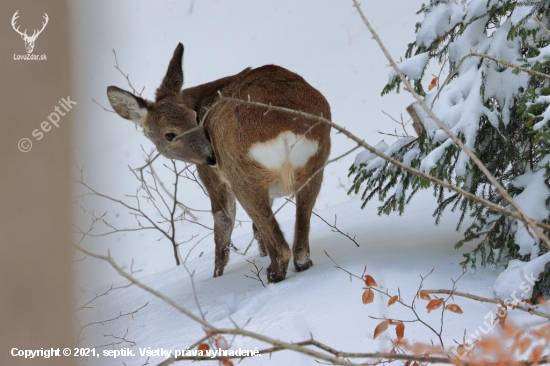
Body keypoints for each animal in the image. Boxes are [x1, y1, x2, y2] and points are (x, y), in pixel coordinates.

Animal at [108, 43, 332, 284]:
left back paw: (271, 274)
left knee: (278, 247)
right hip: (315, 165)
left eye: (196, 117)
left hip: (241, 175)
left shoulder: (212, 176)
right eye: (169, 135)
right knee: (299, 246)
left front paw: (215, 278)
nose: (211, 157)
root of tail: (286, 129)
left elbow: (222, 222)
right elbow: (256, 231)